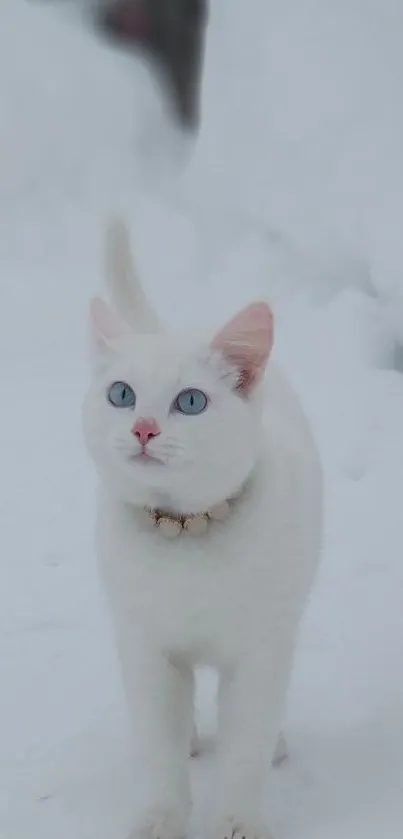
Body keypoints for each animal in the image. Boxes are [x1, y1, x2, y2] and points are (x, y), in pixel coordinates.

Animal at [83, 221, 326, 839]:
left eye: (190, 402)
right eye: (121, 394)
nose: (144, 428)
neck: (184, 531)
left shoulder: (261, 650)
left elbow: (244, 745)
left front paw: (237, 820)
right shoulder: (146, 646)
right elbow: (159, 745)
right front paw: (161, 817)